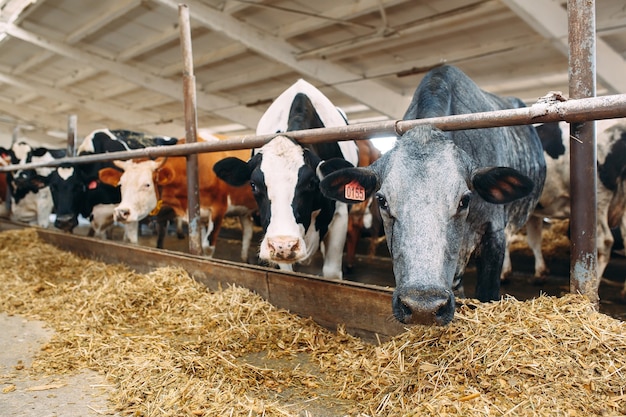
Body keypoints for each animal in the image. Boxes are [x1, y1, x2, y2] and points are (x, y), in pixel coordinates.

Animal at [98, 143, 255, 260]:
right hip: (244, 211)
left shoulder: (218, 209)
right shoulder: (199, 214)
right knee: (248, 231)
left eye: (147, 184)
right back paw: (244, 258)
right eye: (120, 184)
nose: (121, 212)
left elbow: (207, 246)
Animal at [500, 118, 624, 290]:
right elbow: (534, 239)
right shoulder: (533, 211)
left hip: (600, 201)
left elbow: (505, 236)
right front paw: (540, 273)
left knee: (605, 242)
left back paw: (594, 284)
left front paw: (503, 273)